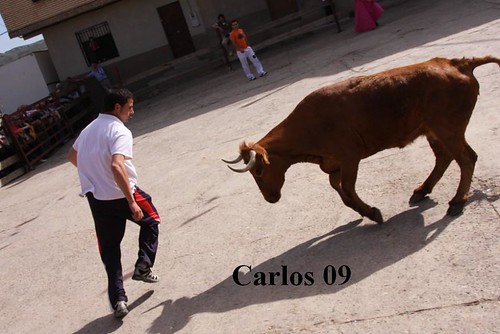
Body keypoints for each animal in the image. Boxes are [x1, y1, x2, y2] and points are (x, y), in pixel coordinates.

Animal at [224, 56, 500, 223]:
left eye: (258, 171)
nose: (270, 198)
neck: (309, 127)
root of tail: (457, 63)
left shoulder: (349, 158)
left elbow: (347, 189)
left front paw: (373, 213)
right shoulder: (333, 164)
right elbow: (340, 191)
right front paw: (366, 212)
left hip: (448, 129)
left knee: (466, 158)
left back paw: (457, 202)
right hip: (433, 130)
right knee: (444, 158)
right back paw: (422, 190)